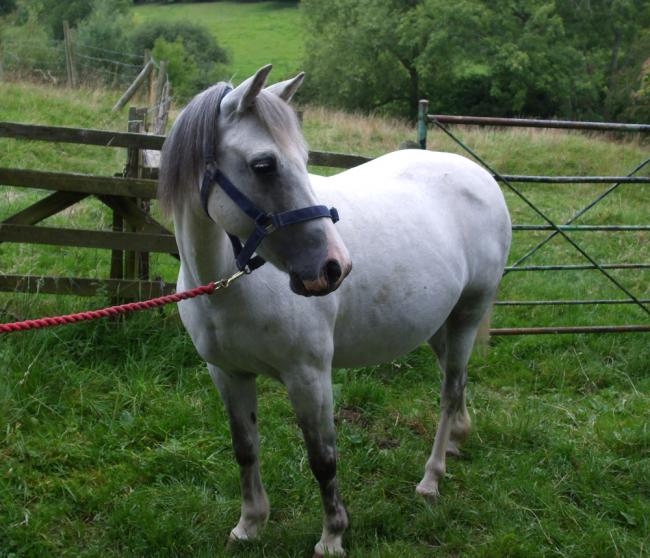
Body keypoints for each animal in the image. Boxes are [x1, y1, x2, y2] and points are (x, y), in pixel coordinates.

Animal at [159, 66, 508, 558]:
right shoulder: (227, 374)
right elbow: (245, 448)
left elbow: (323, 458)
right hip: (439, 324)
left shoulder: (308, 376)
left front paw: (332, 535)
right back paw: (458, 439)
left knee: (449, 389)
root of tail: (481, 177)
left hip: (466, 316)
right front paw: (249, 524)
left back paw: (431, 478)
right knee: (454, 385)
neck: (228, 282)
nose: (334, 267)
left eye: (304, 159)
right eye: (264, 165)